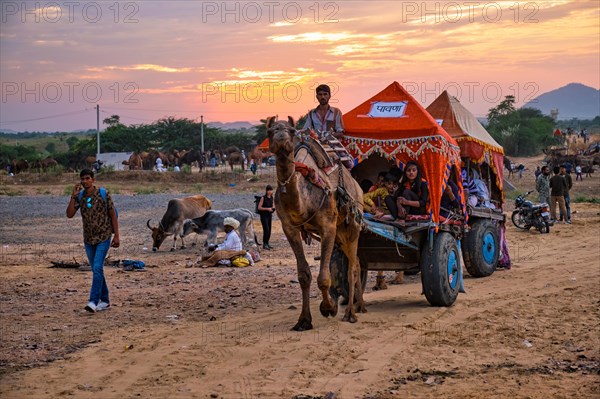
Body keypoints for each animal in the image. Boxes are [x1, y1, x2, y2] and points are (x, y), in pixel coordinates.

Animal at [268, 115, 366, 332]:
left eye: (292, 131)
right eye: (270, 131)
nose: (281, 136)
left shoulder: (327, 226)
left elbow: (324, 277)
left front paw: (328, 308)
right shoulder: (290, 228)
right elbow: (304, 275)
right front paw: (303, 320)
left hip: (353, 226)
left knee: (353, 267)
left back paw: (351, 313)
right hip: (341, 234)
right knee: (355, 263)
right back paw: (360, 306)